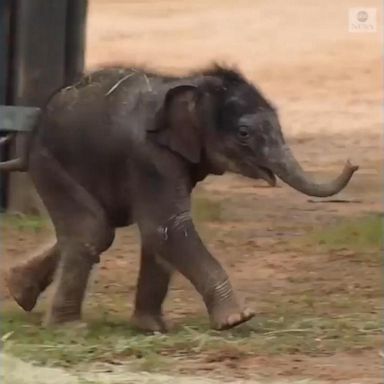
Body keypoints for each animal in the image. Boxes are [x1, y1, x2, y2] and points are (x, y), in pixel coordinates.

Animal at [2, 64, 356, 332]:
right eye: (244, 134)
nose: (353, 163)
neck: (194, 84)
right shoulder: (150, 157)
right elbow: (167, 228)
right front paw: (237, 319)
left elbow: (159, 235)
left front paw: (152, 328)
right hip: (51, 163)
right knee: (92, 230)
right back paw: (68, 329)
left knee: (101, 229)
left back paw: (19, 291)